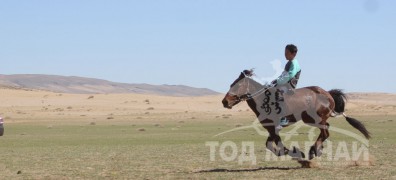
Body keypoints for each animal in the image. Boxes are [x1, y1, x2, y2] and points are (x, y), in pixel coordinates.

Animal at [221, 70, 370, 162]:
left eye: (236, 86)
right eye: (231, 84)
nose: (224, 102)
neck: (263, 100)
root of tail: (327, 94)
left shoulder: (274, 127)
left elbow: (279, 145)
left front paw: (297, 152)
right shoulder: (271, 127)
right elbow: (270, 145)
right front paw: (291, 152)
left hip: (314, 119)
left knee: (325, 132)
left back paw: (313, 151)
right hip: (313, 119)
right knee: (326, 130)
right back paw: (317, 150)